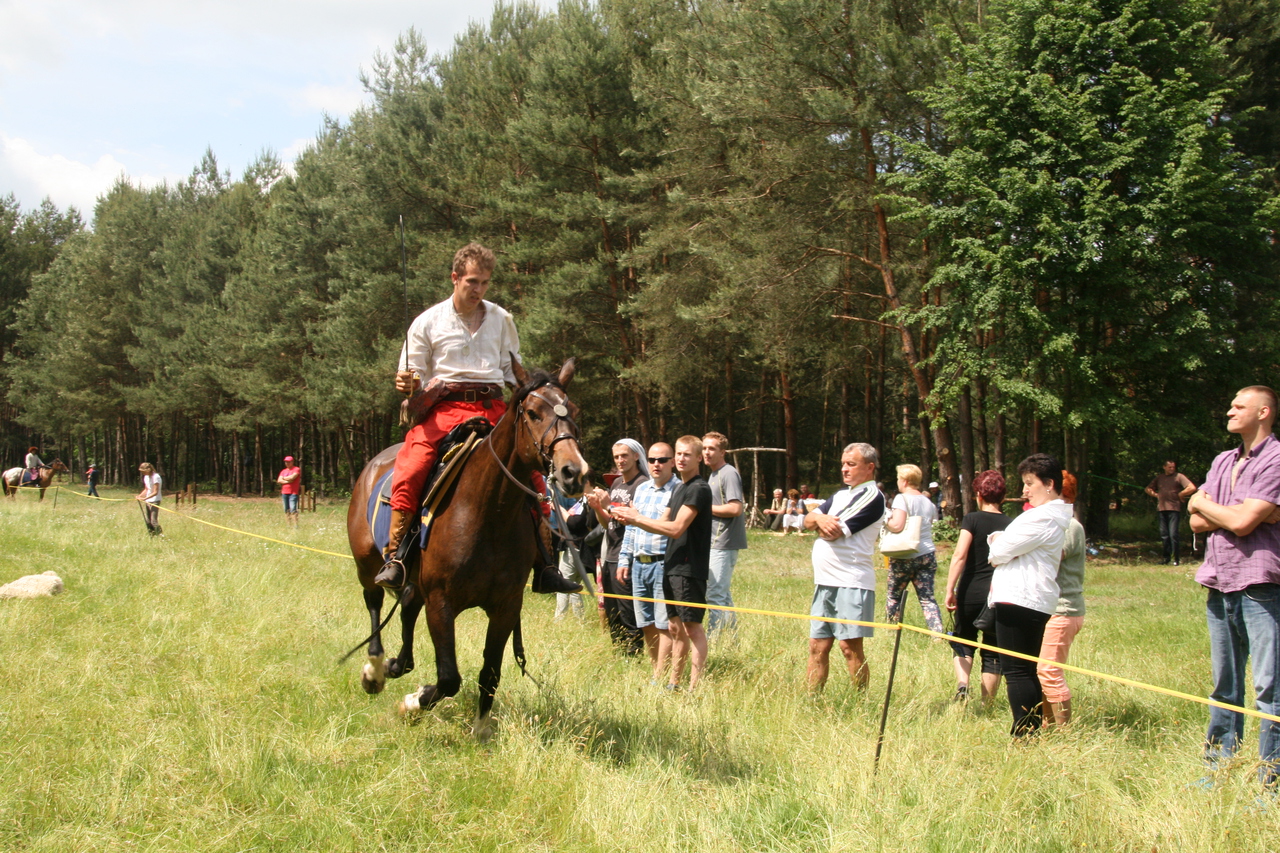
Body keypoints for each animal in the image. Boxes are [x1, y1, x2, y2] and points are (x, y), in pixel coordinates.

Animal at [348, 358, 591, 737]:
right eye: (533, 413)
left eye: (575, 411)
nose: (573, 472)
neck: (487, 512)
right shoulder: (441, 603)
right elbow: (449, 678)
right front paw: (412, 704)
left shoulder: (506, 606)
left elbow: (489, 673)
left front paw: (479, 728)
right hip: (367, 563)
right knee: (374, 601)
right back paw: (374, 669)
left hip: (416, 579)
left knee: (406, 606)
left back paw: (397, 665)